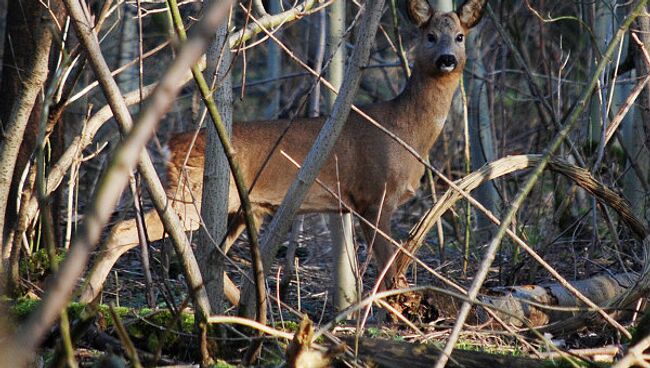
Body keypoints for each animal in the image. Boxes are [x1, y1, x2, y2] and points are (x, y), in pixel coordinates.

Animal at [78, 0, 484, 304]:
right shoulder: (374, 195)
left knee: (209, 256)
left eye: (460, 36)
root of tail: (174, 142)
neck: (404, 132)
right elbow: (388, 271)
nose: (447, 58)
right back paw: (85, 299)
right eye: (429, 36)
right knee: (126, 231)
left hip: (239, 207)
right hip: (191, 194)